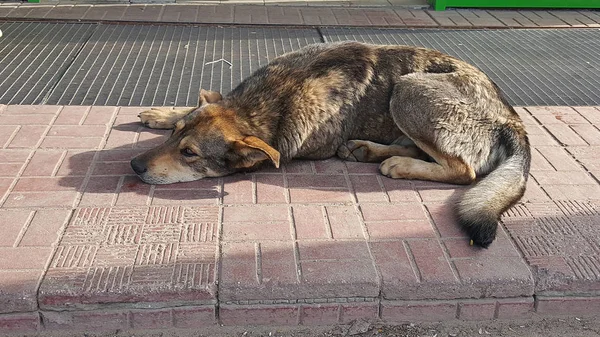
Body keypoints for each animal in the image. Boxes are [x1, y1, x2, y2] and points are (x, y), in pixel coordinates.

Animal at [131, 42, 528, 247]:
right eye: (174, 137)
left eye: (190, 154)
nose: (134, 165)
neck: (266, 103)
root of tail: (511, 116)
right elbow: (196, 105)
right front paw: (162, 113)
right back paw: (367, 150)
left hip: (408, 88)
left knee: (463, 170)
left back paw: (397, 164)